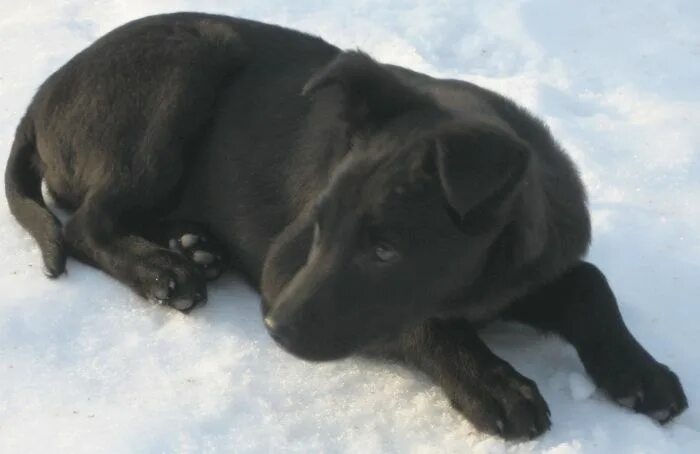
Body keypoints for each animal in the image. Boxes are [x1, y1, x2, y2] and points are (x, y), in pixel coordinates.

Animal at [2, 13, 688, 440]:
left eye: (386, 251)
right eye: (320, 226)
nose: (273, 329)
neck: (480, 289)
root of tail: (39, 97)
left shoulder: (532, 267)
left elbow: (592, 283)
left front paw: (641, 372)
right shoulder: (286, 267)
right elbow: (421, 320)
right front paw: (495, 384)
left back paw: (193, 246)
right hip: (188, 64)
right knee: (87, 225)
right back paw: (164, 270)